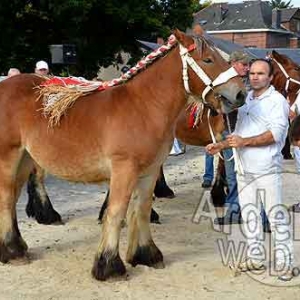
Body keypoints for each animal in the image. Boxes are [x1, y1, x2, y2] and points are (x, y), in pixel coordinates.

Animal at [0, 29, 245, 280]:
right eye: (208, 59)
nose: (240, 94)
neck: (143, 107)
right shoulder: (124, 169)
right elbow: (116, 212)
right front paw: (109, 265)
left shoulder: (149, 171)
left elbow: (142, 209)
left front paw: (146, 254)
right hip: (8, 157)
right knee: (7, 199)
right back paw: (13, 251)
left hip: (25, 159)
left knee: (15, 198)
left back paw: (18, 246)